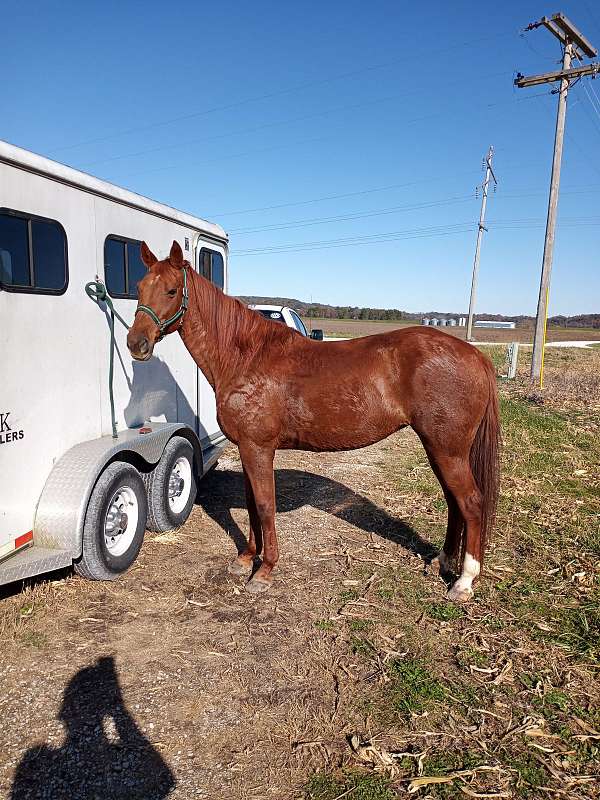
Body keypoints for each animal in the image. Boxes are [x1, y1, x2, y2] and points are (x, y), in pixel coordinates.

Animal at [129, 241, 500, 604]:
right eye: (139, 287)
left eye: (172, 290)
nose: (136, 343)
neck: (245, 358)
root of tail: (475, 355)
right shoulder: (248, 449)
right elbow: (251, 505)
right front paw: (246, 559)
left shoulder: (258, 448)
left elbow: (265, 506)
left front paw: (264, 572)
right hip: (440, 449)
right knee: (454, 503)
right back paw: (442, 561)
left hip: (447, 449)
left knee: (470, 503)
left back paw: (464, 582)